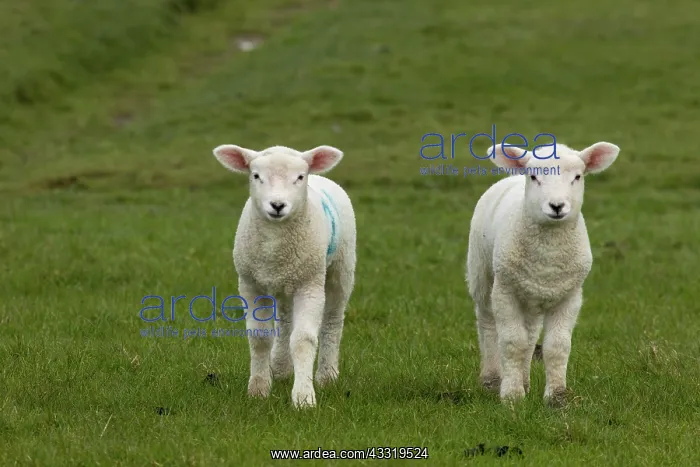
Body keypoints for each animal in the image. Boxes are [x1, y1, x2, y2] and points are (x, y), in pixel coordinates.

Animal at [212, 144, 356, 409]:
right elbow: (259, 338)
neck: (275, 243)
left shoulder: (310, 284)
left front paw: (304, 397)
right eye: (256, 175)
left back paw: (327, 375)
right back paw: (280, 368)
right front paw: (258, 389)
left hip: (341, 268)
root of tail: (320, 177)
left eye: (299, 177)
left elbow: (303, 339)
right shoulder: (250, 285)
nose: (277, 205)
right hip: (285, 282)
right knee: (285, 322)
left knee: (333, 321)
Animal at [465, 140, 620, 406]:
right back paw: (492, 379)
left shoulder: (570, 296)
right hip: (482, 274)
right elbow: (511, 342)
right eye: (534, 177)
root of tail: (511, 177)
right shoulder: (505, 292)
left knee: (529, 337)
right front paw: (512, 396)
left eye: (577, 177)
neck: (547, 258)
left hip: (532, 296)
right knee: (487, 325)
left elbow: (557, 346)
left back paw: (524, 380)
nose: (557, 206)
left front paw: (556, 397)